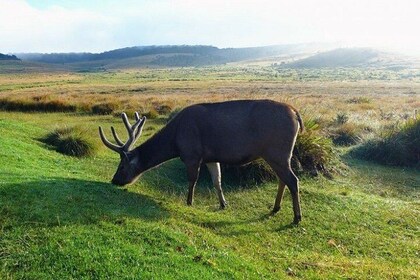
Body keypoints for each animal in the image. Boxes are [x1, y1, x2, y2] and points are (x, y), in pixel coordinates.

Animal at [100, 99, 306, 224]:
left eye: (122, 166)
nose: (114, 180)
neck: (175, 142)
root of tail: (296, 114)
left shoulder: (192, 154)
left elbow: (193, 180)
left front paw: (189, 201)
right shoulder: (211, 158)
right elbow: (217, 181)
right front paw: (223, 204)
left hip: (277, 151)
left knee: (293, 180)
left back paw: (297, 217)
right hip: (279, 154)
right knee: (283, 179)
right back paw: (276, 207)